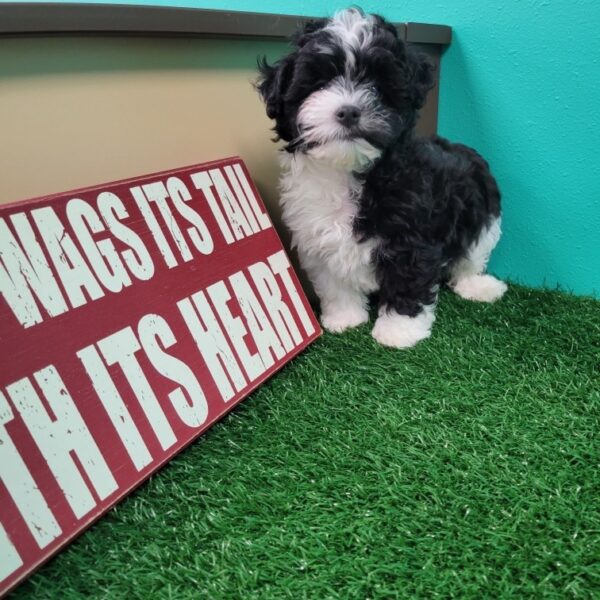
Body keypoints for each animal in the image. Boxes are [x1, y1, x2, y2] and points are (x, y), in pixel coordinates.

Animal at [256, 8, 506, 346]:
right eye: (319, 83)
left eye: (376, 86)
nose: (349, 111)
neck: (351, 170)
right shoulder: (317, 234)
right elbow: (335, 282)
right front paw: (345, 317)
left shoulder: (413, 234)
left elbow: (408, 276)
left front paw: (399, 331)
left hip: (483, 213)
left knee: (471, 254)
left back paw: (480, 287)